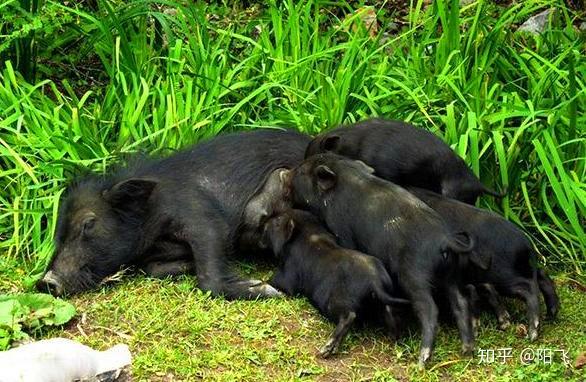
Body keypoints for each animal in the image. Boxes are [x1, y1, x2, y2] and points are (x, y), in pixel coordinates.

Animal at [35, 130, 310, 300]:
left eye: (88, 223)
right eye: (59, 233)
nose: (46, 282)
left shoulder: (202, 216)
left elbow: (209, 279)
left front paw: (266, 289)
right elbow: (152, 269)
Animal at [262, 207, 408, 356]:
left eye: (278, 220)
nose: (265, 222)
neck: (308, 232)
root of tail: (375, 283)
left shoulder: (287, 276)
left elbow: (274, 281)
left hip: (332, 302)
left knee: (349, 315)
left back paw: (326, 349)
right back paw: (394, 336)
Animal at [288, 154, 480, 366]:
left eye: (302, 171)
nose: (286, 173)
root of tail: (446, 240)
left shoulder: (342, 232)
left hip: (413, 277)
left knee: (430, 309)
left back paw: (422, 360)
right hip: (452, 275)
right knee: (460, 303)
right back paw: (467, 350)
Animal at [406, 188, 556, 340]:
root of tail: (528, 244)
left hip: (504, 275)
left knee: (529, 288)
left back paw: (532, 334)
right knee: (542, 275)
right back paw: (549, 315)